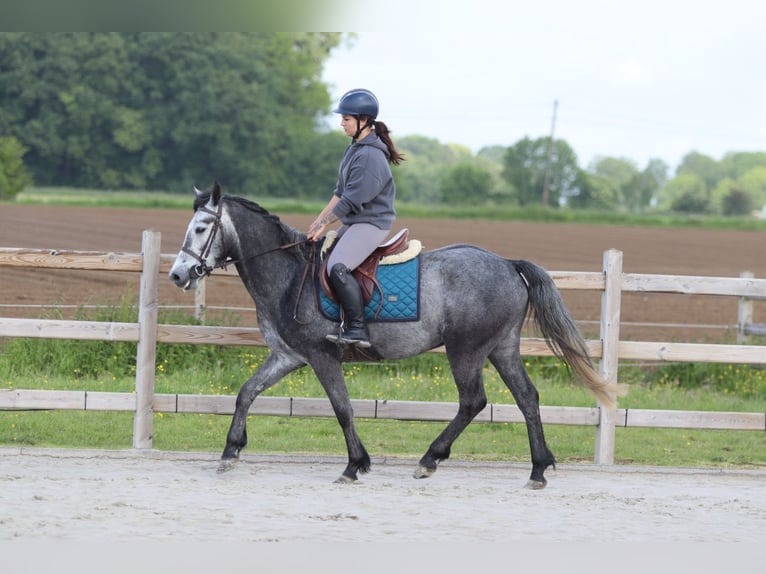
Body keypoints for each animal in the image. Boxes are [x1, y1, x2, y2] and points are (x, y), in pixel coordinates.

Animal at [169, 182, 618, 488]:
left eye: (202, 228)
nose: (177, 275)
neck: (289, 274)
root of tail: (507, 264)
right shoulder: (288, 356)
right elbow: (247, 392)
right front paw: (230, 451)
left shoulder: (321, 356)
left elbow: (342, 409)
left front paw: (354, 465)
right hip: (501, 347)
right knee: (527, 397)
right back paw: (538, 469)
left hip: (466, 350)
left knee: (473, 401)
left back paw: (430, 459)